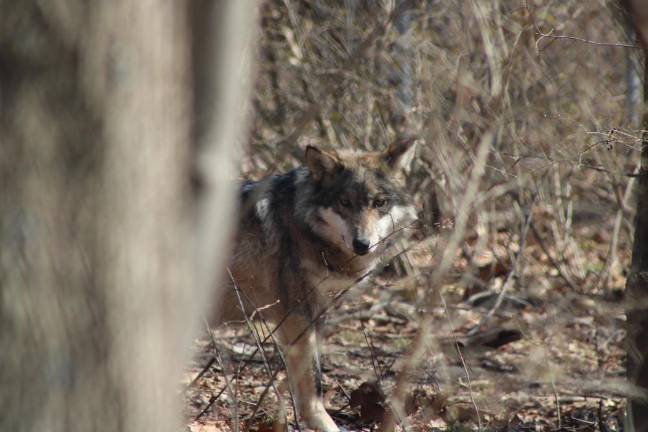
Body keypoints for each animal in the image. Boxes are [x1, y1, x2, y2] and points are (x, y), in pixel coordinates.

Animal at [216, 140, 420, 430]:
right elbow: (313, 384)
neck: (301, 226)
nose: (362, 244)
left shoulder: (316, 315)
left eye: (379, 203)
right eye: (345, 202)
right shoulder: (297, 317)